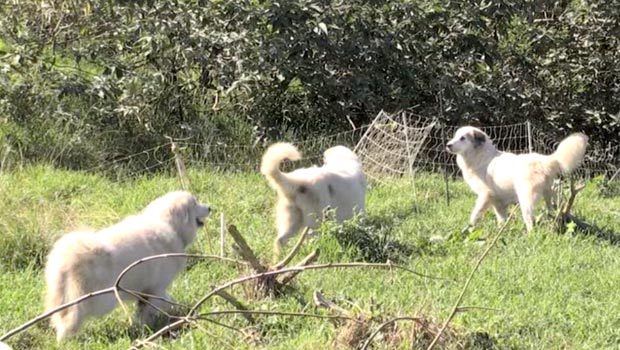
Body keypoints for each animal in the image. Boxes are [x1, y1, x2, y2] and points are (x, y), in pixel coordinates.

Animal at [446, 126, 588, 232]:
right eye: (455, 136)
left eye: (463, 138)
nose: (448, 145)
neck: (481, 157)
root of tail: (547, 160)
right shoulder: (498, 202)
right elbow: (501, 219)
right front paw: (501, 231)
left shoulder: (485, 195)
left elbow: (475, 215)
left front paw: (469, 228)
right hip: (549, 195)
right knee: (554, 210)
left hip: (525, 199)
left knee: (530, 220)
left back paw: (530, 236)